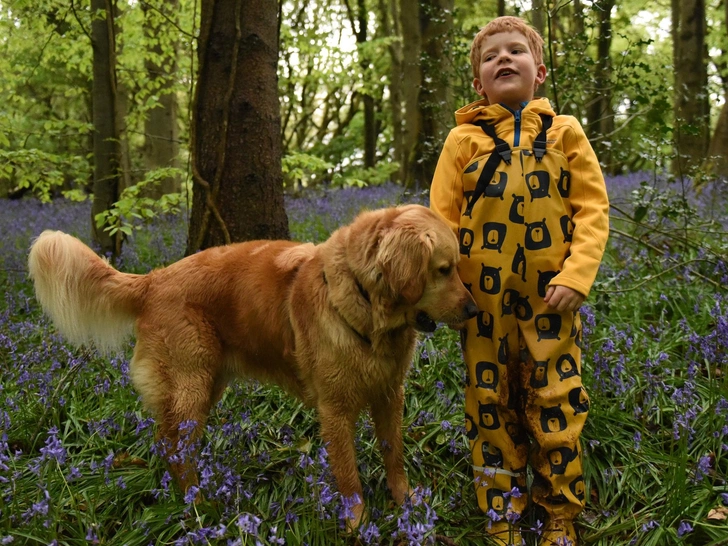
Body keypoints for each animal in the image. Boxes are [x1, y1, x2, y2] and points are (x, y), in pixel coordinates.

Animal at [28, 202, 480, 524]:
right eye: (444, 269)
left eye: (457, 266)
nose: (475, 310)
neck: (366, 304)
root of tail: (153, 279)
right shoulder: (335, 410)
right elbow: (349, 475)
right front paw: (357, 523)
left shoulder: (390, 394)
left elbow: (395, 454)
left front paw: (406, 504)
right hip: (192, 385)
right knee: (175, 447)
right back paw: (198, 505)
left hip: (206, 386)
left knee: (167, 441)